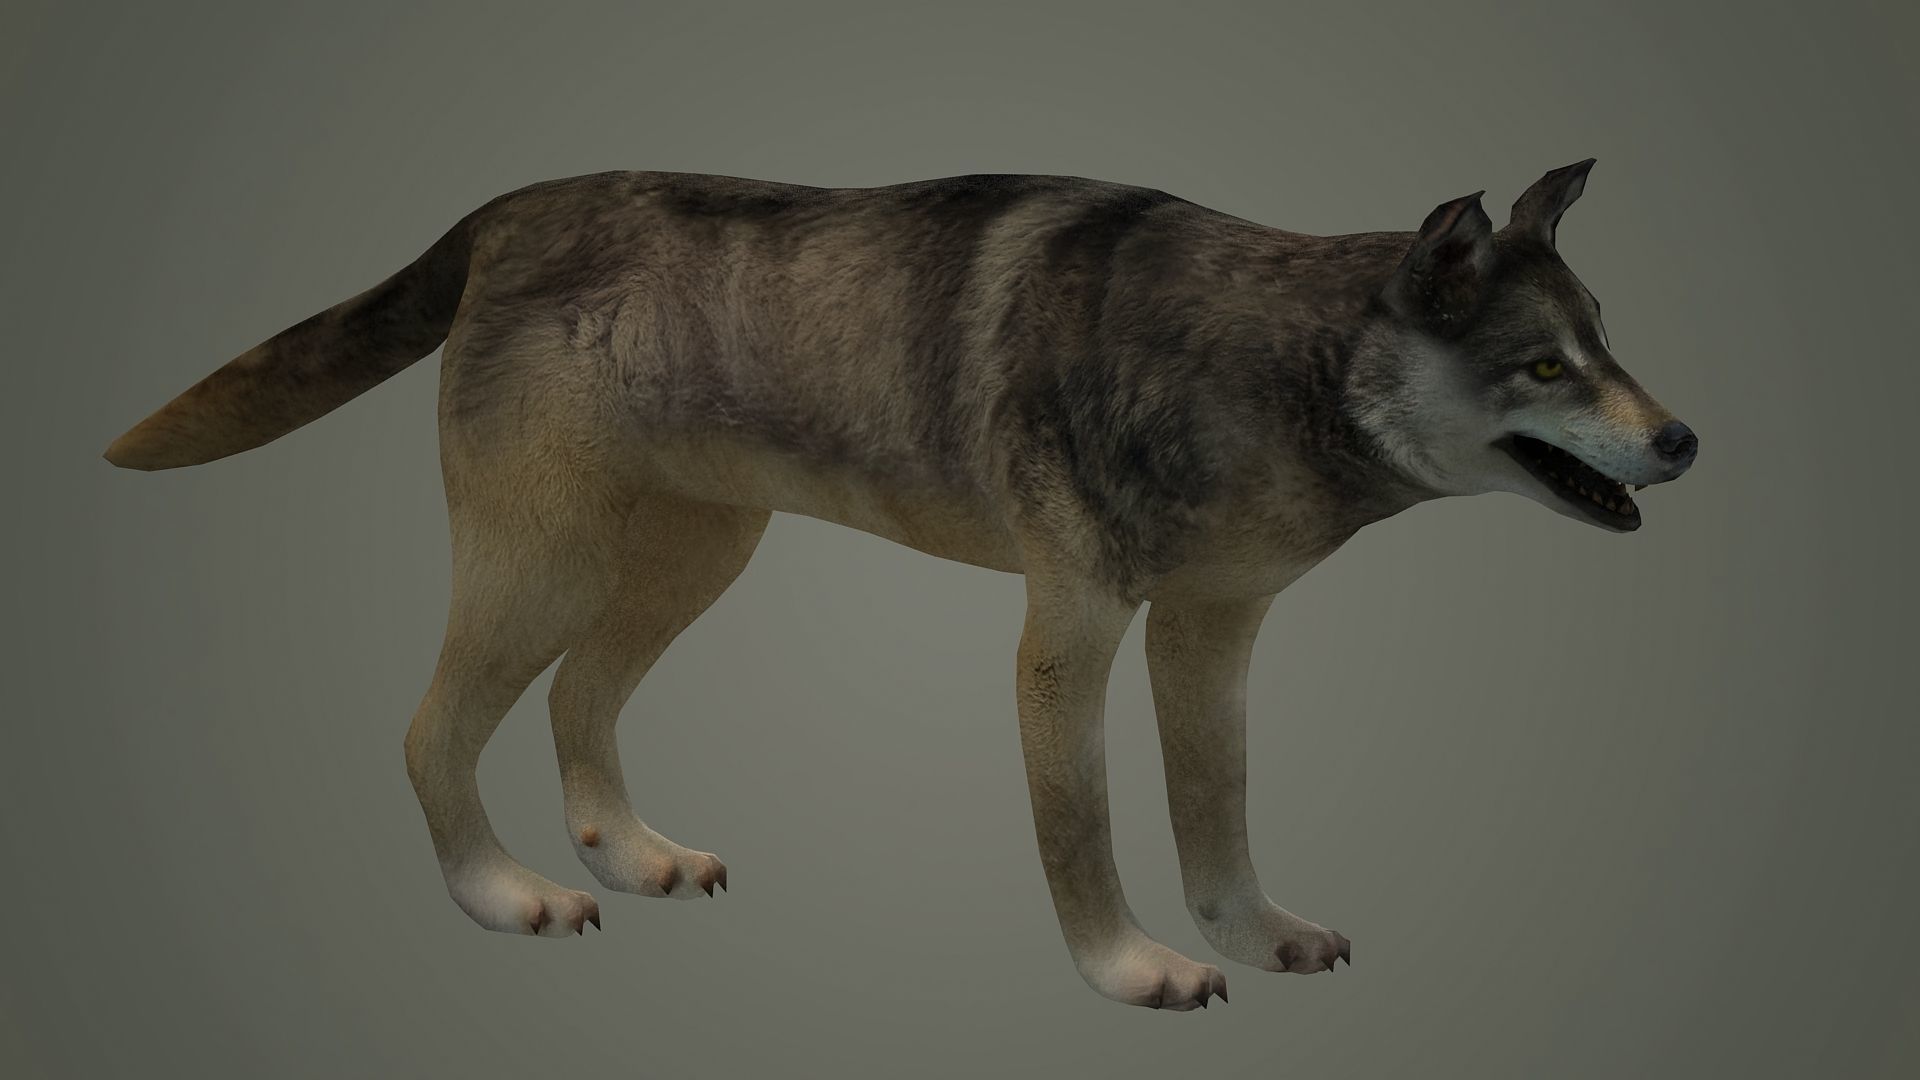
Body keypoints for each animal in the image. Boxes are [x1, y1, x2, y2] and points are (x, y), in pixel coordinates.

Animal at [105, 159, 1697, 1010]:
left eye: (1608, 341)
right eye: (1543, 367)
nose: (1686, 438)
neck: (1257, 355)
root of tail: (509, 205)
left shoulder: (1208, 636)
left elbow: (1218, 815)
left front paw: (1252, 936)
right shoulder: (1067, 642)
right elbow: (1086, 836)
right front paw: (1131, 970)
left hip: (691, 560)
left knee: (579, 707)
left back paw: (632, 856)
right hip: (542, 568)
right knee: (435, 729)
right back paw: (507, 895)